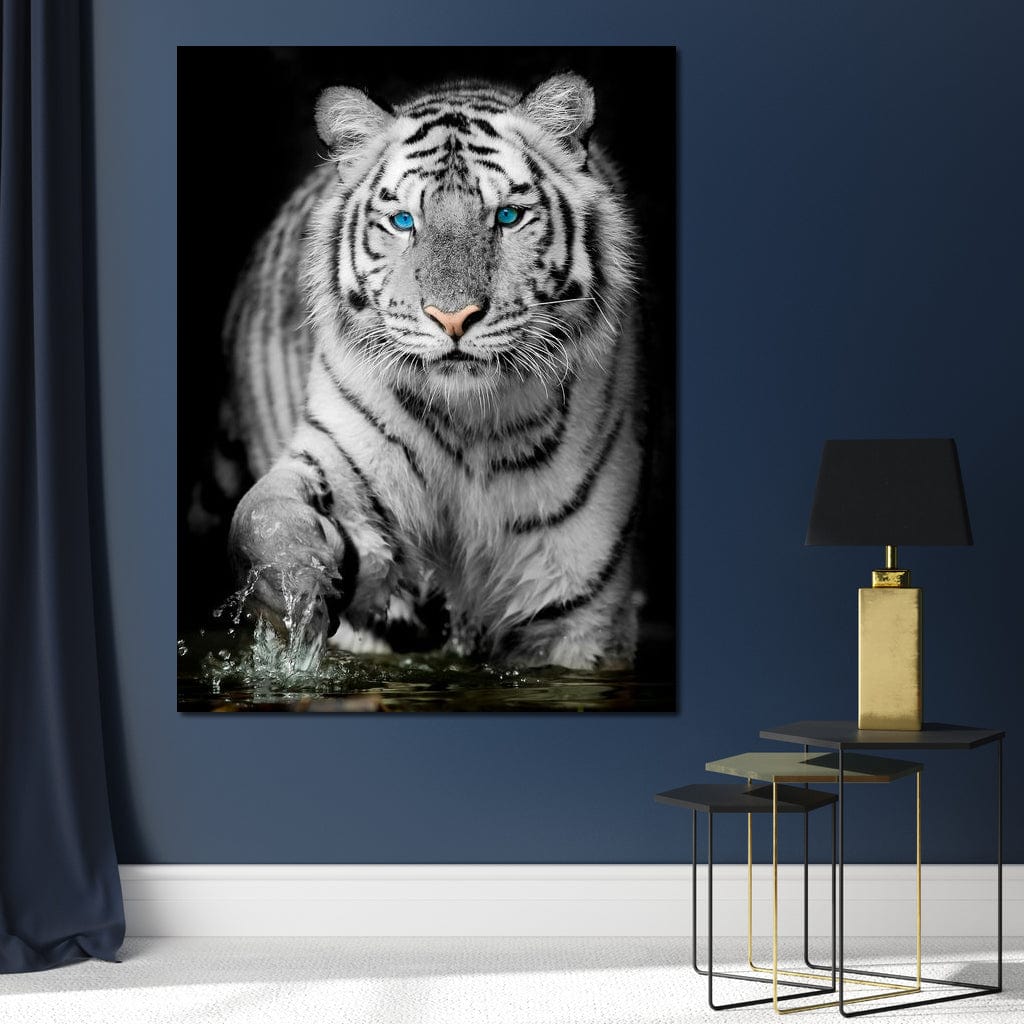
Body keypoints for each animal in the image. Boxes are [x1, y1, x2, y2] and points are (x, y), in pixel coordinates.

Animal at [213, 72, 644, 670]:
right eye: (403, 222)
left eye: (507, 217)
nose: (453, 317)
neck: (472, 425)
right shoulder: (342, 463)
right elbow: (263, 515)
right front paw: (295, 586)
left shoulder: (578, 611)